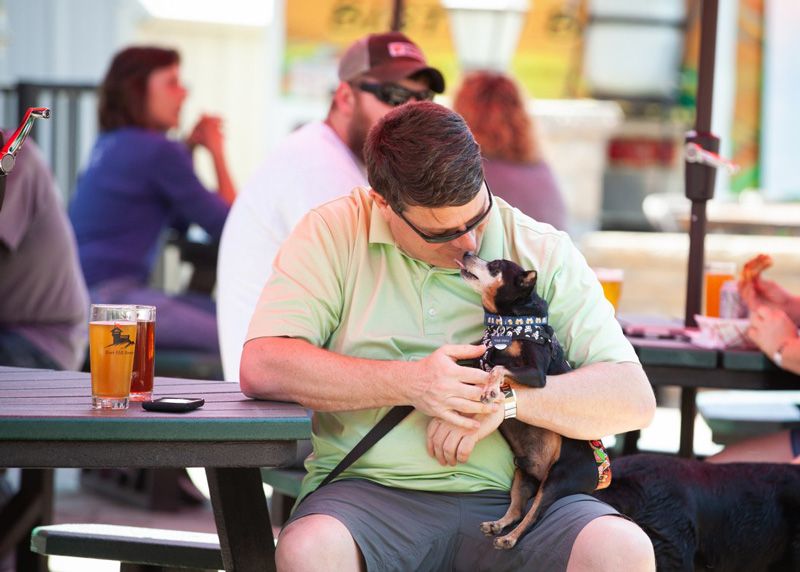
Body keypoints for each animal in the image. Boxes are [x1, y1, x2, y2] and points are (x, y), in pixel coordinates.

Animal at [456, 255, 612, 548]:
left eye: (495, 266)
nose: (468, 254)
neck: (507, 323)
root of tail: (598, 474)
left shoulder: (536, 374)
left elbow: (499, 369)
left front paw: (491, 387)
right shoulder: (480, 355)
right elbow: (470, 360)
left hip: (556, 480)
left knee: (533, 516)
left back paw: (510, 538)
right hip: (523, 475)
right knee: (517, 509)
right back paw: (498, 526)